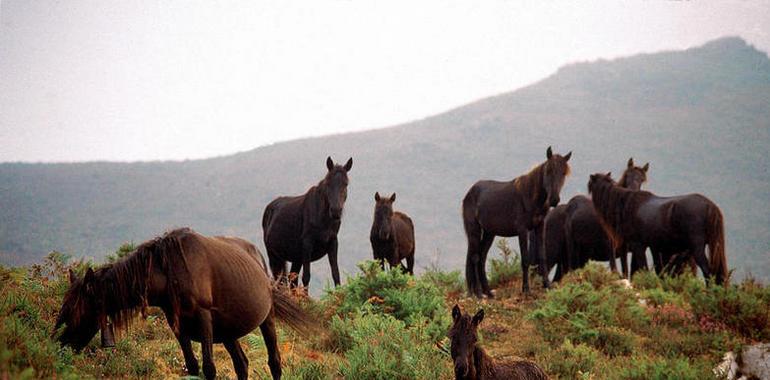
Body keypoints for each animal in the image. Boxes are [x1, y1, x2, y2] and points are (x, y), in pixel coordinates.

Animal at [53, 227, 316, 378]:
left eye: (76, 309)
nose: (59, 346)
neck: (168, 270)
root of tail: (257, 257)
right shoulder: (177, 325)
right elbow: (192, 365)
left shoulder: (203, 318)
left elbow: (209, 368)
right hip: (227, 331)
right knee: (241, 364)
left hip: (266, 320)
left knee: (274, 362)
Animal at [260, 156, 352, 290]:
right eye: (328, 183)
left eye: (345, 183)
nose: (335, 211)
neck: (322, 218)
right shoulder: (307, 245)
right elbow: (306, 277)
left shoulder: (333, 243)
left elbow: (336, 274)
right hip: (274, 255)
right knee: (280, 281)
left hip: (295, 258)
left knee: (291, 281)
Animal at [460, 146, 568, 296]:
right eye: (548, 171)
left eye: (563, 173)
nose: (554, 200)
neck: (530, 196)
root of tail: (469, 193)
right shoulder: (522, 231)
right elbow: (525, 260)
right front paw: (526, 290)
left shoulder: (540, 227)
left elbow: (542, 256)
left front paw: (547, 285)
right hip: (474, 230)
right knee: (475, 258)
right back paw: (479, 293)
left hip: (489, 233)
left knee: (482, 257)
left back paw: (488, 292)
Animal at [588, 172, 728, 284]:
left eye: (591, 184)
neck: (626, 204)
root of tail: (711, 206)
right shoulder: (654, 248)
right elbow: (658, 271)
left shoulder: (638, 245)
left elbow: (643, 269)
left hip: (697, 248)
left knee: (708, 272)